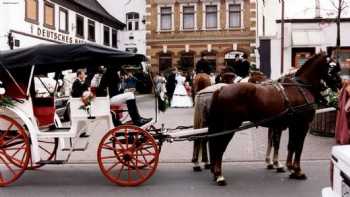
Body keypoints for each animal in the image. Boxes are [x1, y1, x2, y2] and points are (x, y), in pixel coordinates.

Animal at [208, 53, 342, 185]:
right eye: (333, 68)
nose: (340, 84)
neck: (301, 87)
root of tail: (221, 89)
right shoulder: (302, 125)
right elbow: (298, 146)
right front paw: (298, 170)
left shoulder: (293, 125)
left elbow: (291, 145)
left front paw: (291, 168)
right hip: (230, 125)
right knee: (219, 146)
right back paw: (219, 175)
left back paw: (216, 173)